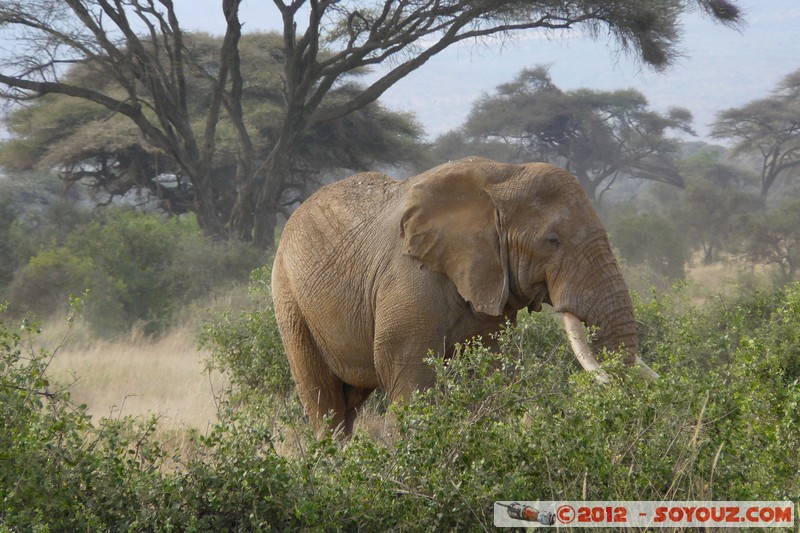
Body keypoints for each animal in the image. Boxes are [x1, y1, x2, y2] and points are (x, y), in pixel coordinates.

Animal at [272, 157, 660, 436]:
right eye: (552, 241)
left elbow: (487, 369)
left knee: (349, 402)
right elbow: (409, 371)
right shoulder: (408, 279)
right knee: (324, 401)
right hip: (288, 296)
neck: (501, 177)